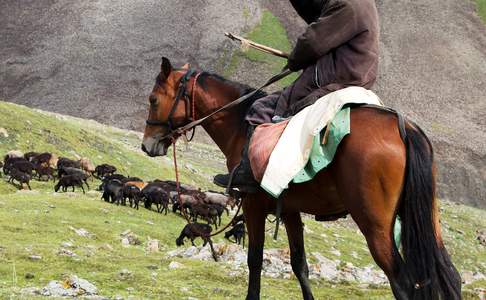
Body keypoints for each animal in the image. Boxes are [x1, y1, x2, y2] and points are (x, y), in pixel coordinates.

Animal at [140, 58, 460, 300]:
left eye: (153, 99)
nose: (147, 145)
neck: (239, 124)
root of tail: (403, 126)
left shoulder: (254, 206)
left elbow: (254, 260)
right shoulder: (290, 210)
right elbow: (299, 264)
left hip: (375, 224)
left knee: (403, 282)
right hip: (426, 217)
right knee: (449, 276)